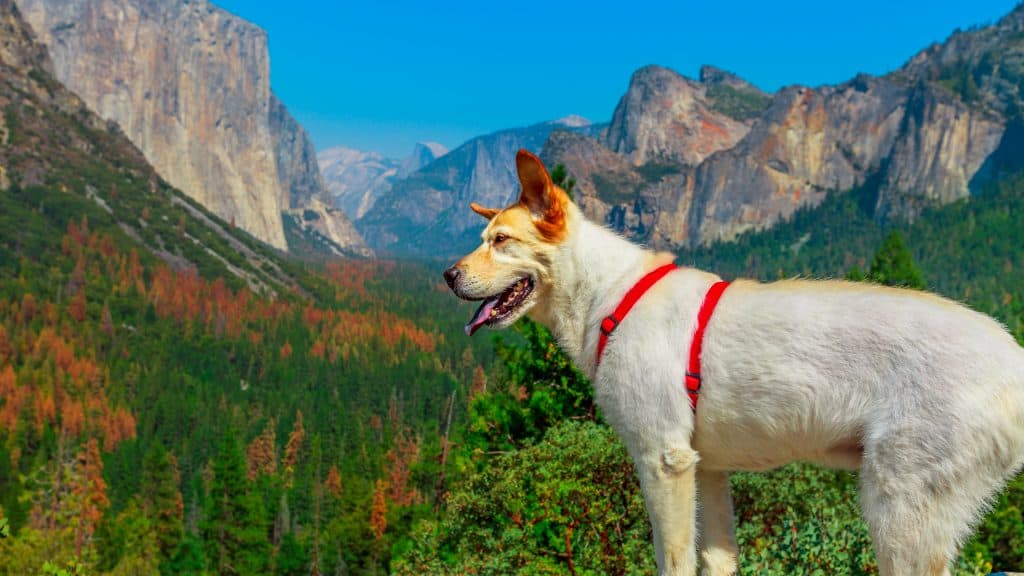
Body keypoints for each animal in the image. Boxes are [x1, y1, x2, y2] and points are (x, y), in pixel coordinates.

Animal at [444, 148, 1024, 573]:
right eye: (483, 239)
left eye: (501, 241)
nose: (447, 276)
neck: (611, 295)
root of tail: (1012, 355)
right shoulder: (708, 470)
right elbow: (718, 560)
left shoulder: (664, 461)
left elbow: (673, 560)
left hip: (898, 510)